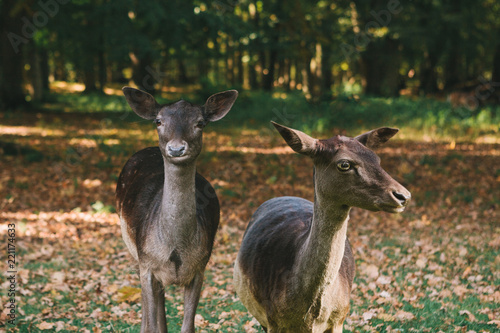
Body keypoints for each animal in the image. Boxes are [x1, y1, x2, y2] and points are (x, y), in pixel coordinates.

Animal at [116, 86, 237, 332]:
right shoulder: (147, 264)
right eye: (158, 121)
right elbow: (150, 321)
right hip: (134, 252)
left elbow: (187, 326)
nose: (176, 148)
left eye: (200, 122)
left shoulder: (200, 267)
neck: (175, 248)